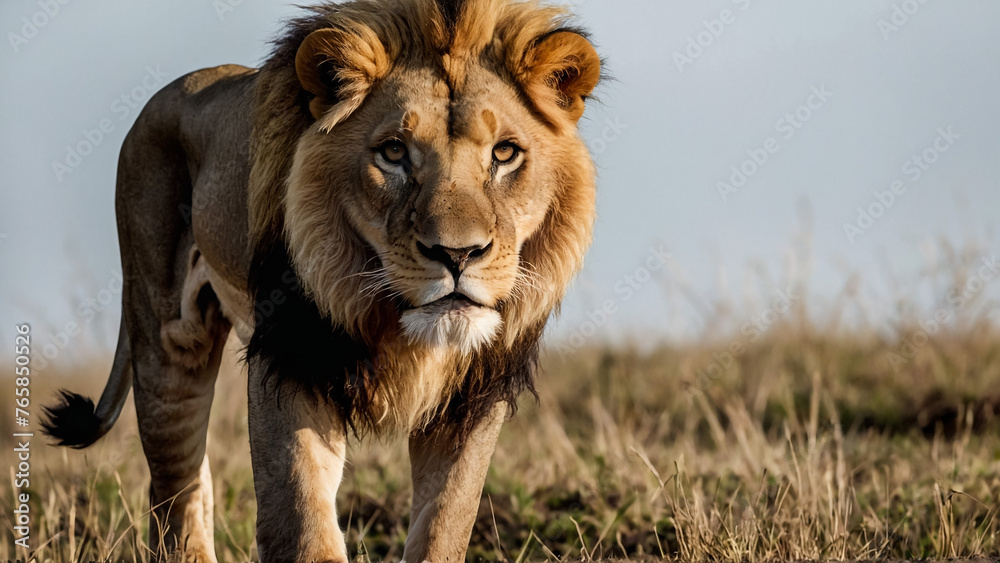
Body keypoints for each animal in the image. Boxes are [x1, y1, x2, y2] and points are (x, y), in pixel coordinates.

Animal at [41, 1, 600, 563]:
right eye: (393, 152)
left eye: (505, 154)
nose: (457, 254)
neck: (394, 320)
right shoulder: (290, 357)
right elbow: (302, 522)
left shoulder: (475, 391)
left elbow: (445, 523)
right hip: (167, 342)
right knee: (175, 493)